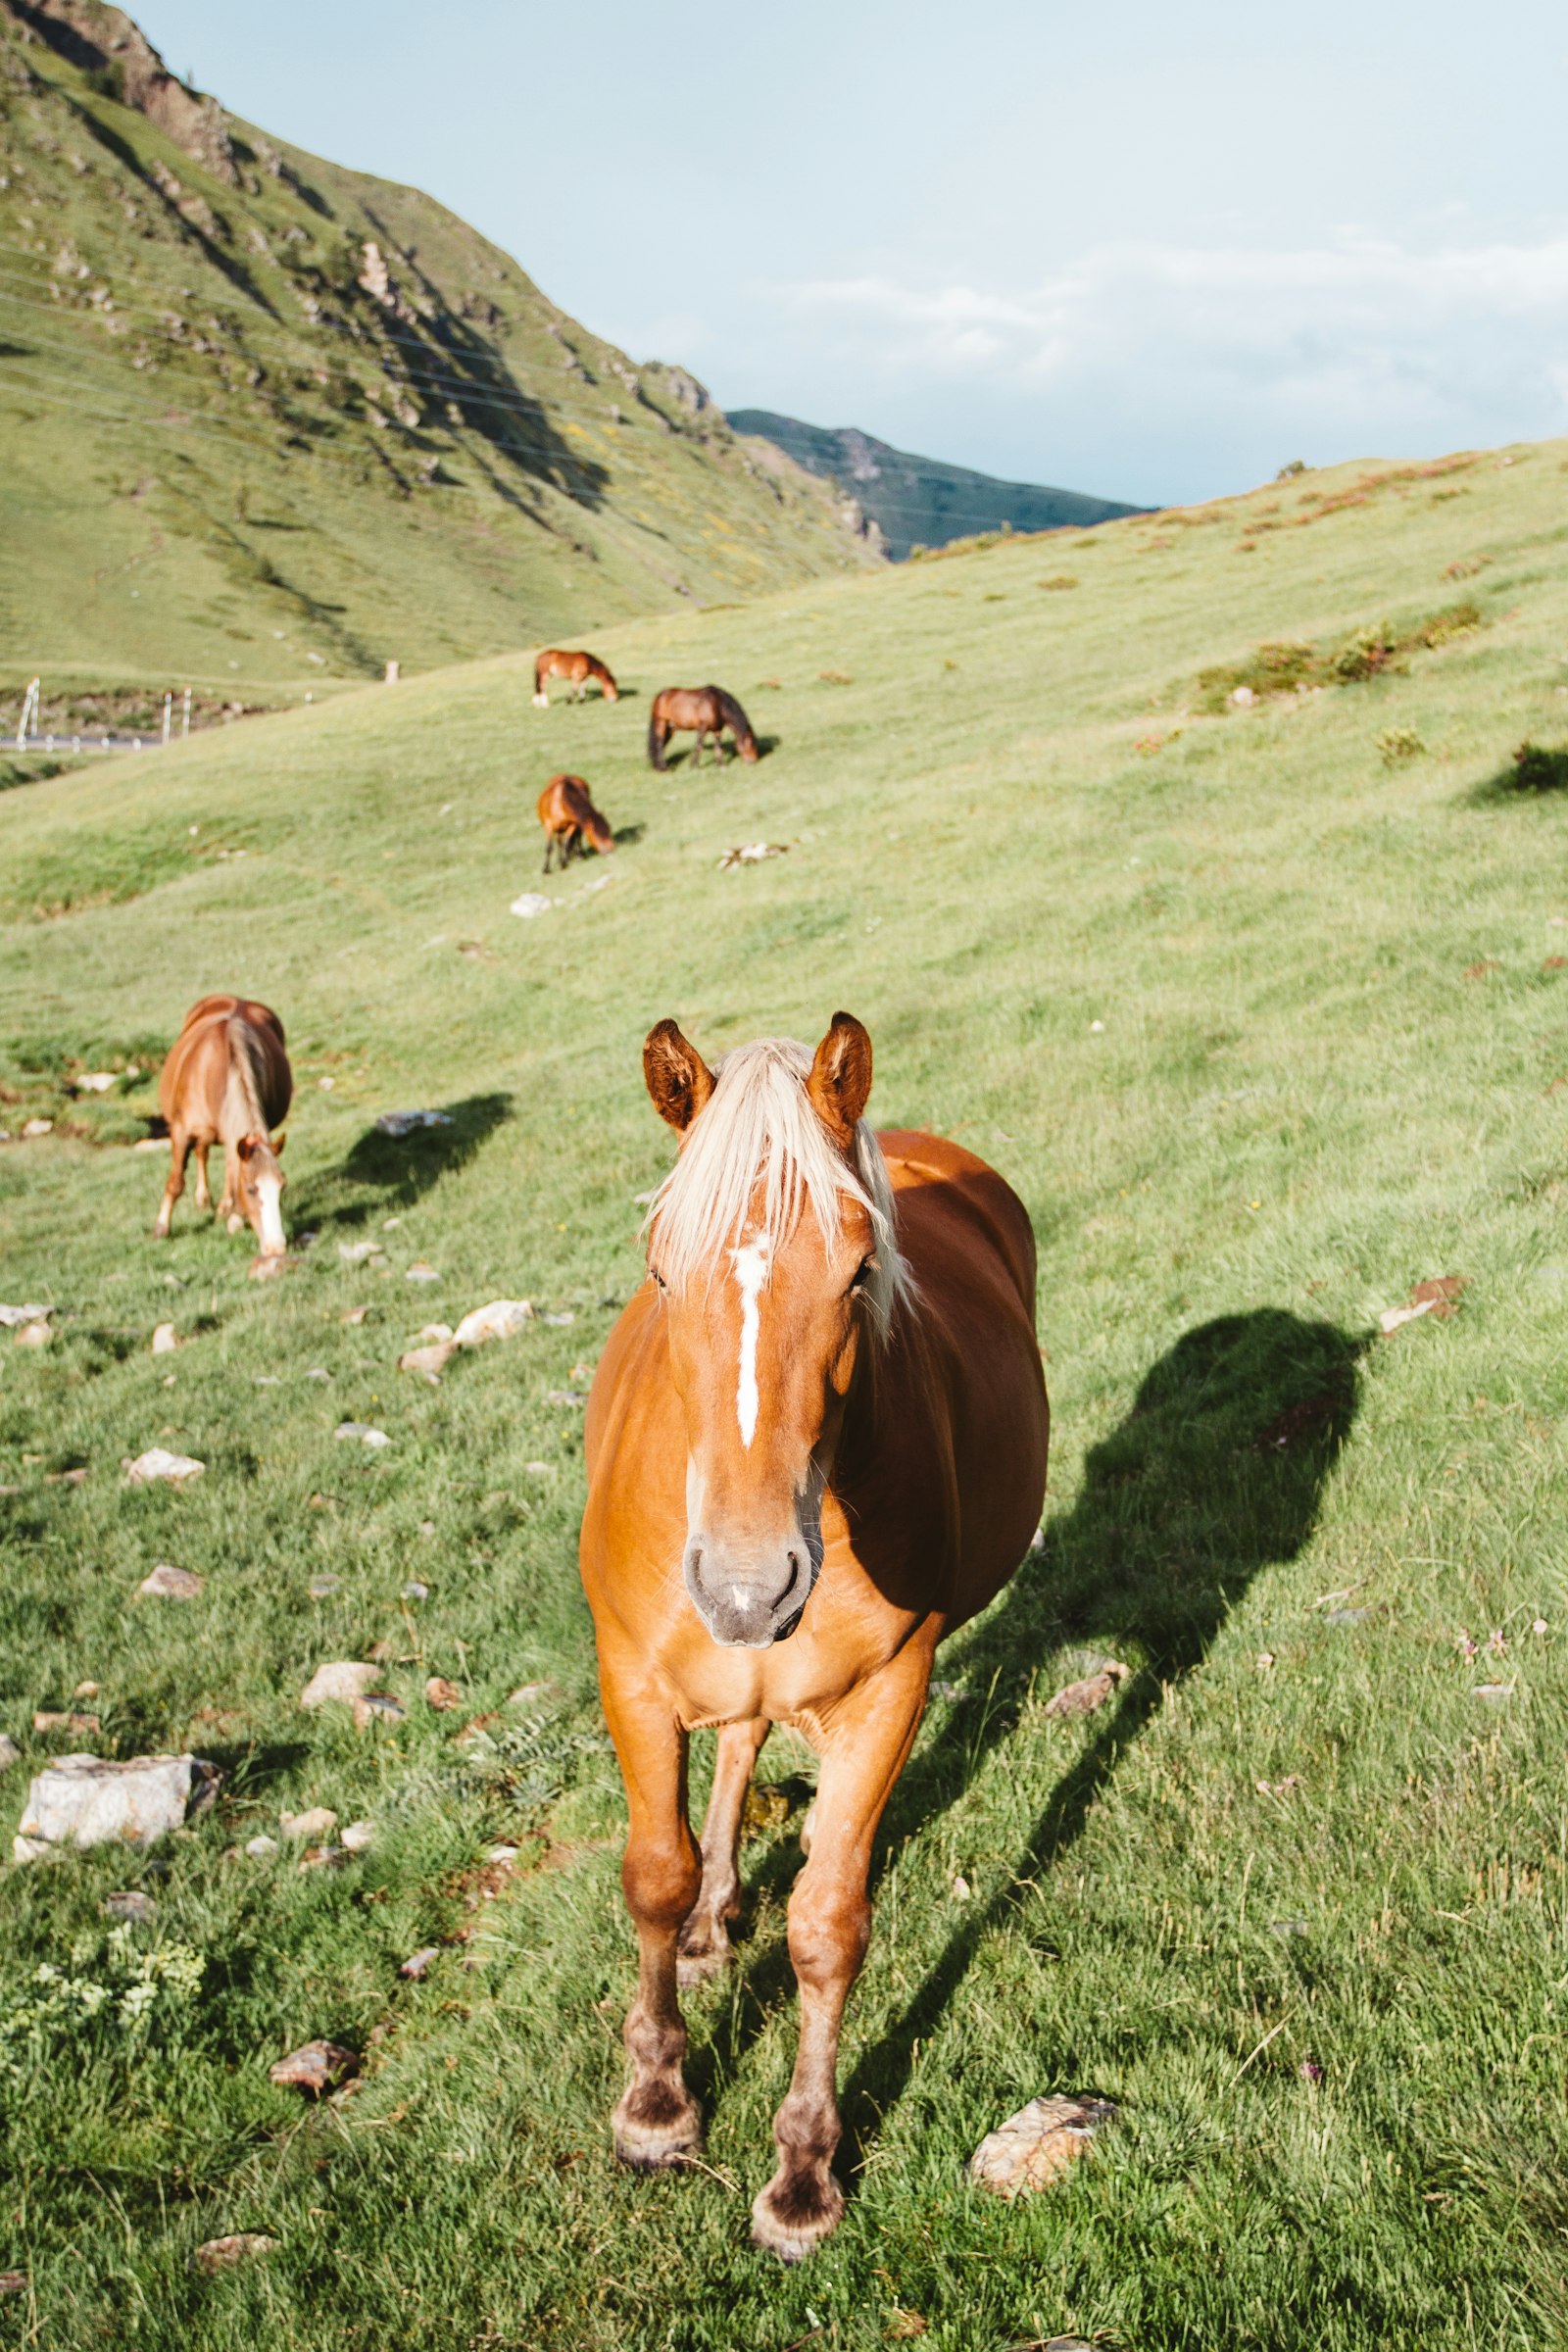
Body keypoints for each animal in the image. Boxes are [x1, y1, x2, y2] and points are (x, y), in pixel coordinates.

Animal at [155, 988, 292, 1260]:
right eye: (251, 1189)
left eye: (281, 1187)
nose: (276, 1248)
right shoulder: (181, 1132)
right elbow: (176, 1182)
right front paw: (162, 1227)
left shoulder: (237, 1137)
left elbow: (232, 1171)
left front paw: (233, 1217)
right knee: (202, 1153)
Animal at [580, 1011, 1053, 2258]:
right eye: (659, 1267)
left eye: (856, 1270)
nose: (748, 1585)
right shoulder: (630, 1676)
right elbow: (652, 1875)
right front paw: (656, 2103)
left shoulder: (890, 1692)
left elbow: (828, 1925)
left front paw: (802, 2171)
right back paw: (709, 1920)